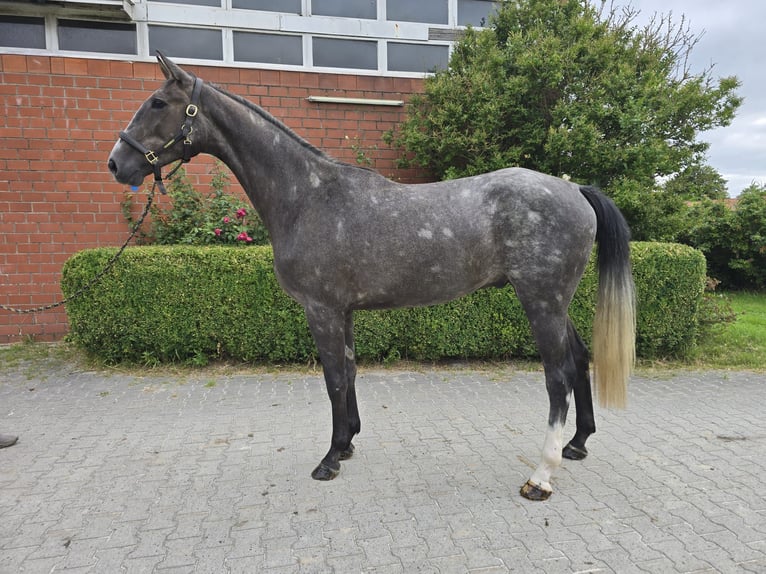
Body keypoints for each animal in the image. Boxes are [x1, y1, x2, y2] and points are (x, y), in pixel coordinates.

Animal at [108, 53, 635, 501]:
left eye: (158, 103)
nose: (117, 163)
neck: (307, 196)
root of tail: (575, 190)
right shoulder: (342, 311)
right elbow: (349, 371)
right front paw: (346, 444)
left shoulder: (320, 310)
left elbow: (333, 380)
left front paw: (328, 459)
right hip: (555, 302)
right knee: (579, 358)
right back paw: (577, 444)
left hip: (541, 301)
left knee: (557, 377)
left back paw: (541, 475)